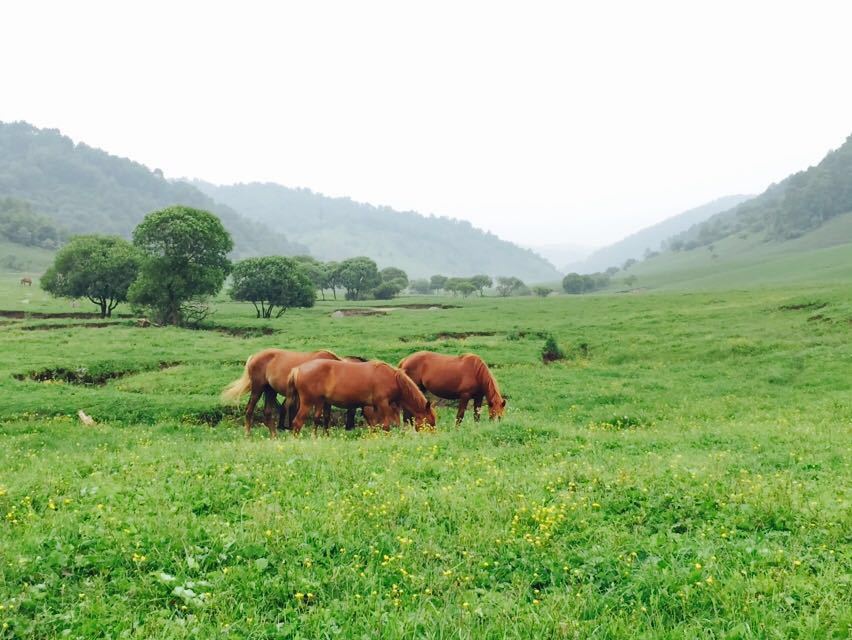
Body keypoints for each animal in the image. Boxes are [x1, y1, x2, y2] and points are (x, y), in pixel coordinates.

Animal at [286, 360, 436, 436]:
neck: (393, 379)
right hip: (307, 402)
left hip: (319, 402)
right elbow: (385, 426)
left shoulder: (374, 407)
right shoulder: (382, 404)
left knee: (316, 420)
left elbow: (375, 425)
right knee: (297, 423)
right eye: (430, 422)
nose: (433, 436)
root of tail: (297, 369)